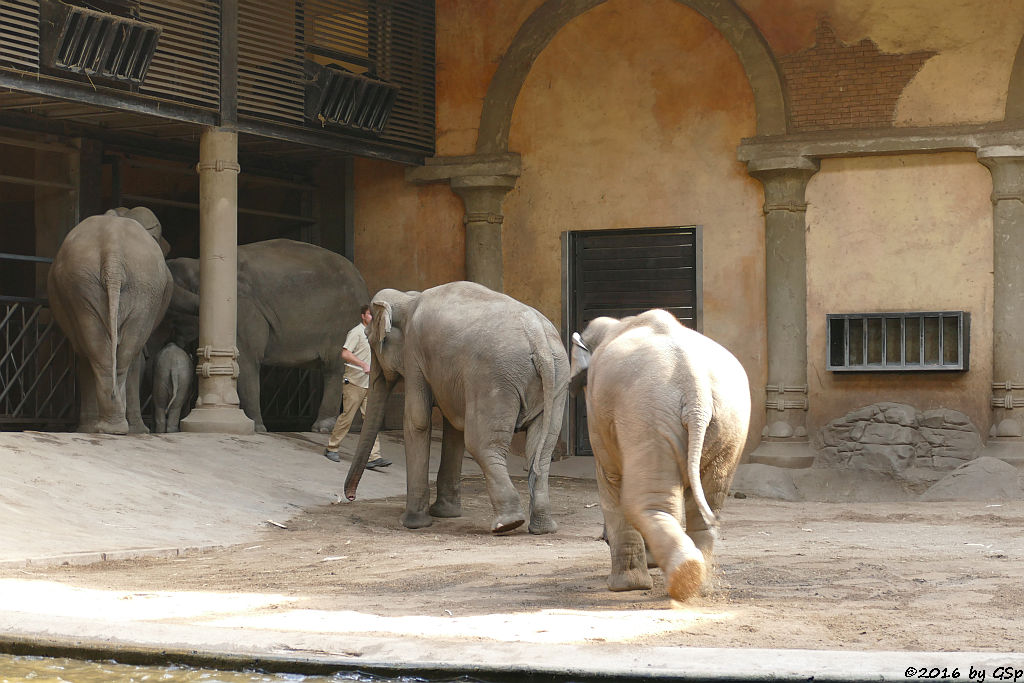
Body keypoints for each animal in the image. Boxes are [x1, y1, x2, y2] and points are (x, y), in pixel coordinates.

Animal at [47, 205, 175, 436]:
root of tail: (112, 253)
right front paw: (139, 431)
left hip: (101, 284)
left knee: (100, 350)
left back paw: (107, 428)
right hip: (129, 286)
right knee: (120, 353)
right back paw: (114, 428)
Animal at [167, 239, 372, 432]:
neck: (198, 265)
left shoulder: (244, 312)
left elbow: (246, 360)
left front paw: (256, 428)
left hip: (343, 322)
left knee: (335, 368)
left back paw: (323, 427)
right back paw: (352, 428)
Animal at [342, 282, 569, 532]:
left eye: (369, 339)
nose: (350, 497)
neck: (408, 299)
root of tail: (538, 338)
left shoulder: (414, 354)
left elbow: (418, 420)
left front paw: (412, 523)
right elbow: (452, 426)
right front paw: (444, 514)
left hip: (495, 379)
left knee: (481, 443)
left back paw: (507, 524)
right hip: (557, 379)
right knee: (541, 450)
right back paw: (543, 527)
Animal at [569, 307, 753, 602]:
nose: (601, 537)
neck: (617, 324)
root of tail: (695, 386)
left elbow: (609, 478)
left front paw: (625, 587)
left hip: (648, 415)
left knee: (642, 500)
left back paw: (681, 577)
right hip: (728, 422)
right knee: (706, 503)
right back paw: (697, 582)